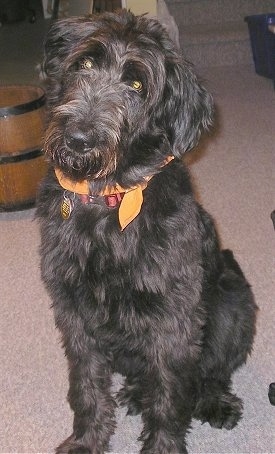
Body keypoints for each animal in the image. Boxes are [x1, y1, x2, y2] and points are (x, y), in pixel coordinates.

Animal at [37, 10, 258, 454]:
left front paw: (162, 445)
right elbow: (86, 386)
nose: (79, 138)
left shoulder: (173, 319)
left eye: (137, 86)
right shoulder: (74, 312)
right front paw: (86, 440)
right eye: (84, 64)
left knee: (211, 372)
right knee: (144, 376)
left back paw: (215, 401)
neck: (108, 201)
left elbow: (170, 397)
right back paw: (137, 393)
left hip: (234, 302)